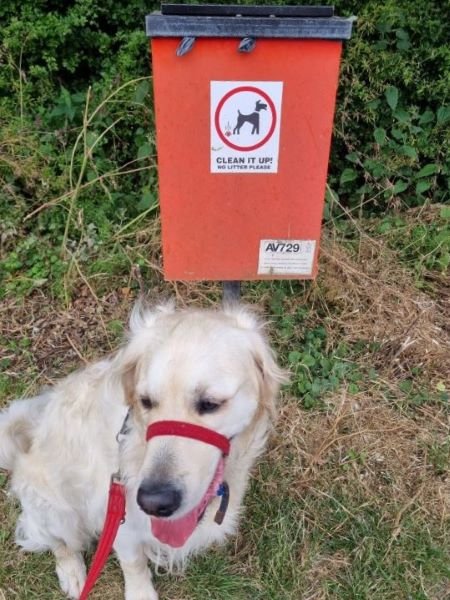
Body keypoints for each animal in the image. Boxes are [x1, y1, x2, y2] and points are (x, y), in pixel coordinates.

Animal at [0, 304, 286, 600]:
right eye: (146, 401)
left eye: (210, 403)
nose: (153, 502)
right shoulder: (118, 517)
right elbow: (133, 562)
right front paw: (140, 592)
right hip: (55, 510)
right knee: (59, 543)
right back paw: (73, 574)